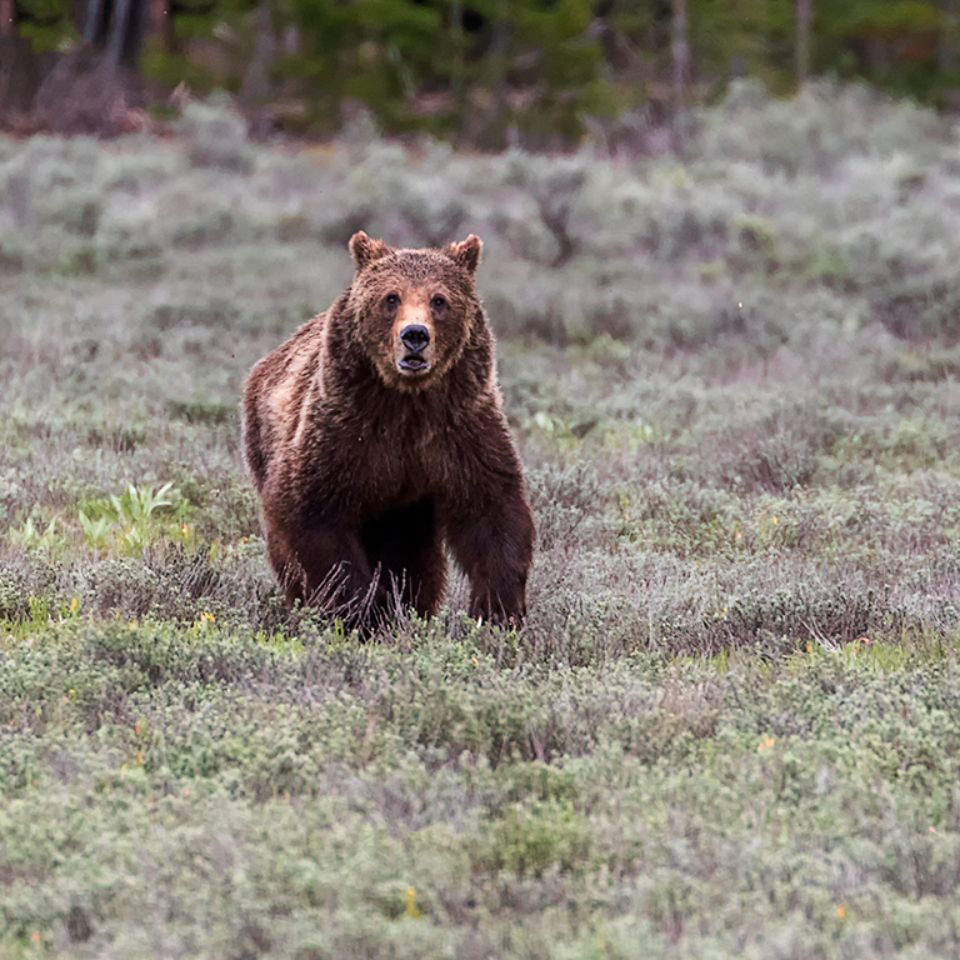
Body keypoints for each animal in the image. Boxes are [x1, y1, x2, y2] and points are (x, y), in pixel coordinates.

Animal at [242, 231, 535, 629]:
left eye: (439, 300)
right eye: (391, 298)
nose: (415, 335)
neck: (406, 402)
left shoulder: (461, 429)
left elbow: (491, 508)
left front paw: (496, 612)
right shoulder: (343, 433)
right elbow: (315, 513)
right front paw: (365, 611)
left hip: (407, 510)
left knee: (414, 557)